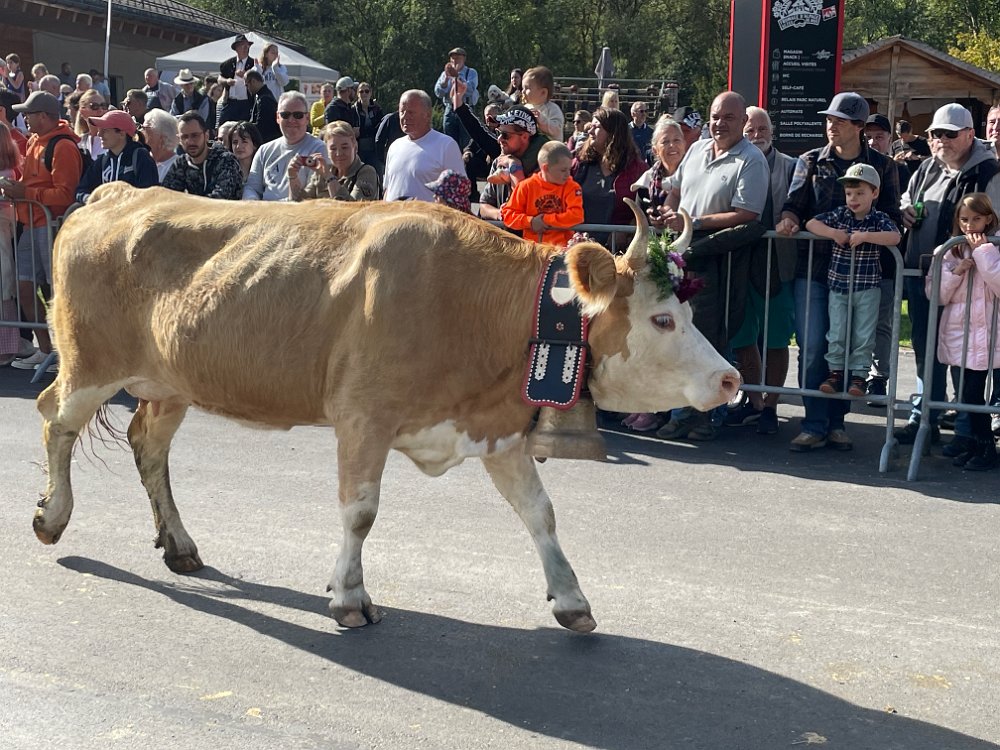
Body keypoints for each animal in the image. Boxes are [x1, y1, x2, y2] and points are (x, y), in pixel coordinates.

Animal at [33, 184, 740, 633]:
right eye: (662, 319)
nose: (731, 379)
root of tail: (114, 193)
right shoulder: (362, 416)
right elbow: (361, 511)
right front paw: (350, 595)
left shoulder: (497, 428)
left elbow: (540, 513)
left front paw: (571, 599)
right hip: (90, 364)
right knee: (55, 418)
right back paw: (52, 517)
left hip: (172, 382)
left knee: (147, 444)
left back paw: (179, 544)